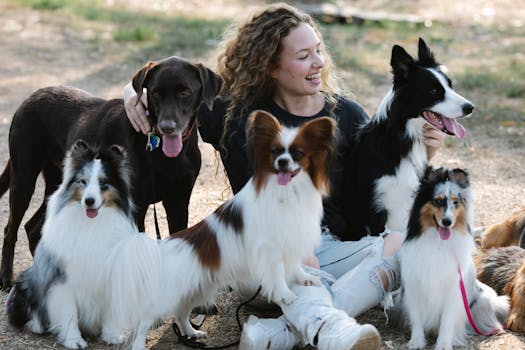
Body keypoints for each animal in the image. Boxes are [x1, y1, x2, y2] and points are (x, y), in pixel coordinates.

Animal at [0, 56, 221, 288]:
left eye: (184, 92)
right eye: (155, 93)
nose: (167, 127)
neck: (160, 149)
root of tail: (30, 97)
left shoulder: (178, 201)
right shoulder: (136, 208)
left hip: (56, 183)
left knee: (32, 227)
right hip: (24, 178)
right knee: (10, 230)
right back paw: (7, 277)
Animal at [398, 167, 508, 350]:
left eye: (456, 202)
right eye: (437, 201)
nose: (447, 222)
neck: (438, 243)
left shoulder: (453, 291)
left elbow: (447, 322)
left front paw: (443, 344)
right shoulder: (414, 286)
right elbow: (417, 318)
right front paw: (416, 341)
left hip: (483, 301)